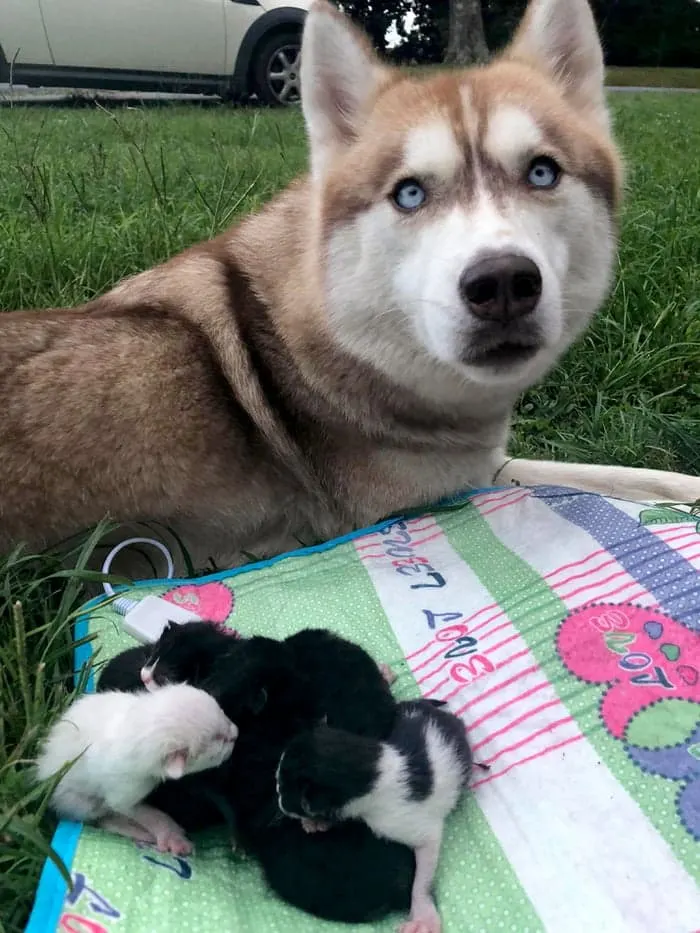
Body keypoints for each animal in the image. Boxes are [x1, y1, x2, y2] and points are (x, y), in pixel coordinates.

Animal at [35, 676, 238, 852]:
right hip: (81, 803)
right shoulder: (125, 790)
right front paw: (170, 832)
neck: (136, 728)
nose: (236, 732)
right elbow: (136, 810)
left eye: (222, 711)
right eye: (219, 739)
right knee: (101, 817)